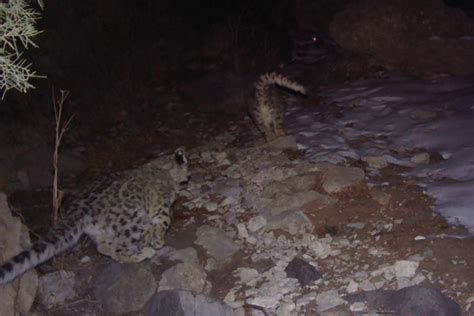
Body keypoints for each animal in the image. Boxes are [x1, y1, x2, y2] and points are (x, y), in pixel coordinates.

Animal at [0, 148, 189, 284]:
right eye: (187, 167)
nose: (189, 177)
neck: (161, 169)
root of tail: (79, 209)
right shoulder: (160, 206)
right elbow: (162, 221)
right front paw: (157, 241)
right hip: (133, 221)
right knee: (121, 247)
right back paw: (142, 253)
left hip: (101, 231)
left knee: (104, 248)